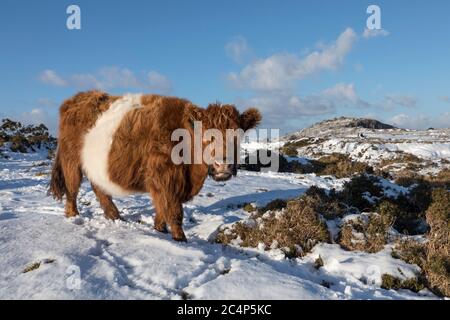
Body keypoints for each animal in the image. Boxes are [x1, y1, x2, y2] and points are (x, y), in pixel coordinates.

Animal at [48, 90, 260, 240]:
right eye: (206, 135)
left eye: (237, 135)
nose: (222, 165)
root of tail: (76, 99)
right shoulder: (165, 178)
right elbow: (174, 212)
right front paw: (180, 240)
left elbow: (162, 210)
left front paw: (159, 230)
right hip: (71, 160)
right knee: (72, 189)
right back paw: (73, 215)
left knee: (99, 188)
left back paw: (115, 216)